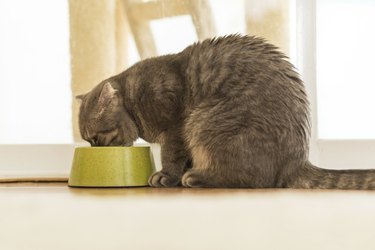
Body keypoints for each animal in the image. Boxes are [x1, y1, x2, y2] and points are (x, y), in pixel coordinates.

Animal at [77, 34, 375, 188]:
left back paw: (196, 177)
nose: (95, 149)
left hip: (203, 120)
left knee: (253, 180)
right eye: (88, 140)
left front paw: (167, 175)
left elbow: (171, 155)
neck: (133, 98)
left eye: (97, 138)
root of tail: (296, 161)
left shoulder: (175, 127)